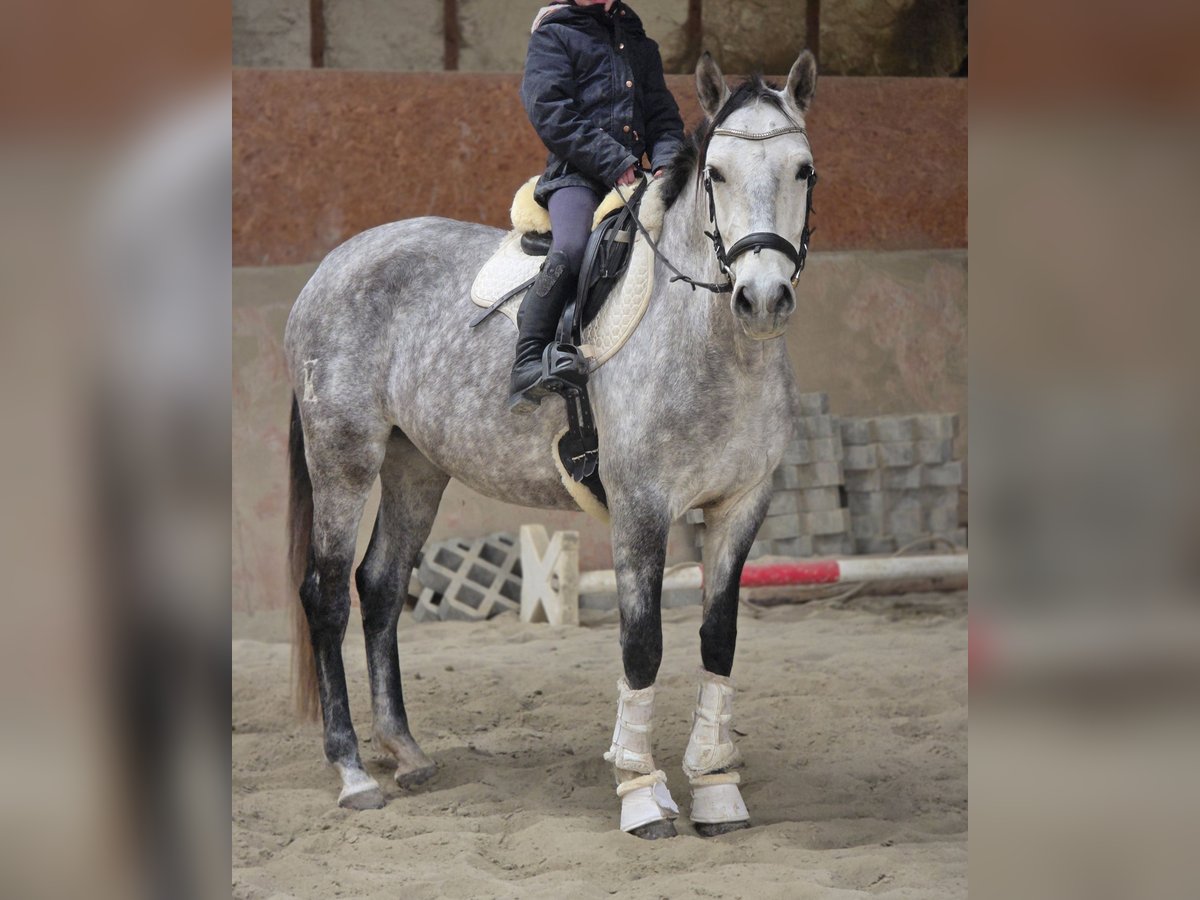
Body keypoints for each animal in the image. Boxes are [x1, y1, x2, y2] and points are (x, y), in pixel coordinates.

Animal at [285, 49, 820, 840]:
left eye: (803, 169)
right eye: (717, 174)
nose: (760, 299)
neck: (716, 344)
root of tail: (333, 264)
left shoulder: (740, 505)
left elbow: (717, 638)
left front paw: (717, 791)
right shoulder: (640, 508)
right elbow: (642, 644)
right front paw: (641, 794)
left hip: (417, 466)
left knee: (379, 586)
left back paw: (405, 752)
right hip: (343, 459)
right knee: (325, 596)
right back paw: (353, 772)